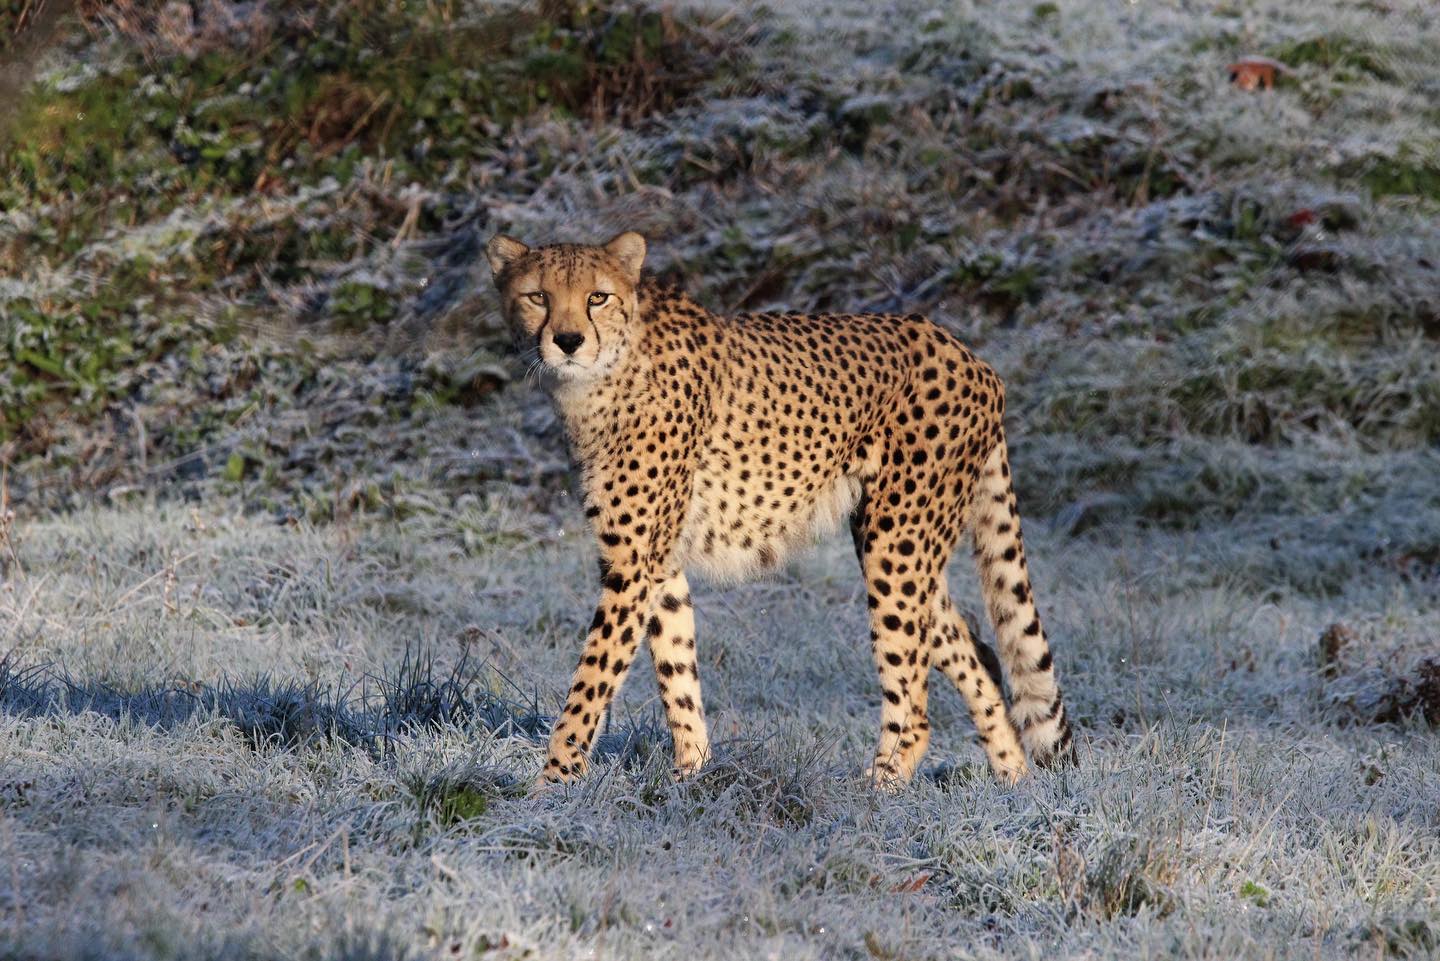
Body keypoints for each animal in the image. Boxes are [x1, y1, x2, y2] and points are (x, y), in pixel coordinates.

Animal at [485, 230, 1077, 788]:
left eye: (597, 297)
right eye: (538, 296)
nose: (567, 341)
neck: (600, 380)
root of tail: (968, 353)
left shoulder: (632, 564)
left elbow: (592, 679)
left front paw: (551, 787)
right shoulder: (659, 563)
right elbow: (676, 668)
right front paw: (692, 776)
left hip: (897, 545)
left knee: (914, 701)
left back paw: (875, 793)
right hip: (899, 539)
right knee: (975, 650)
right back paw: (1014, 785)